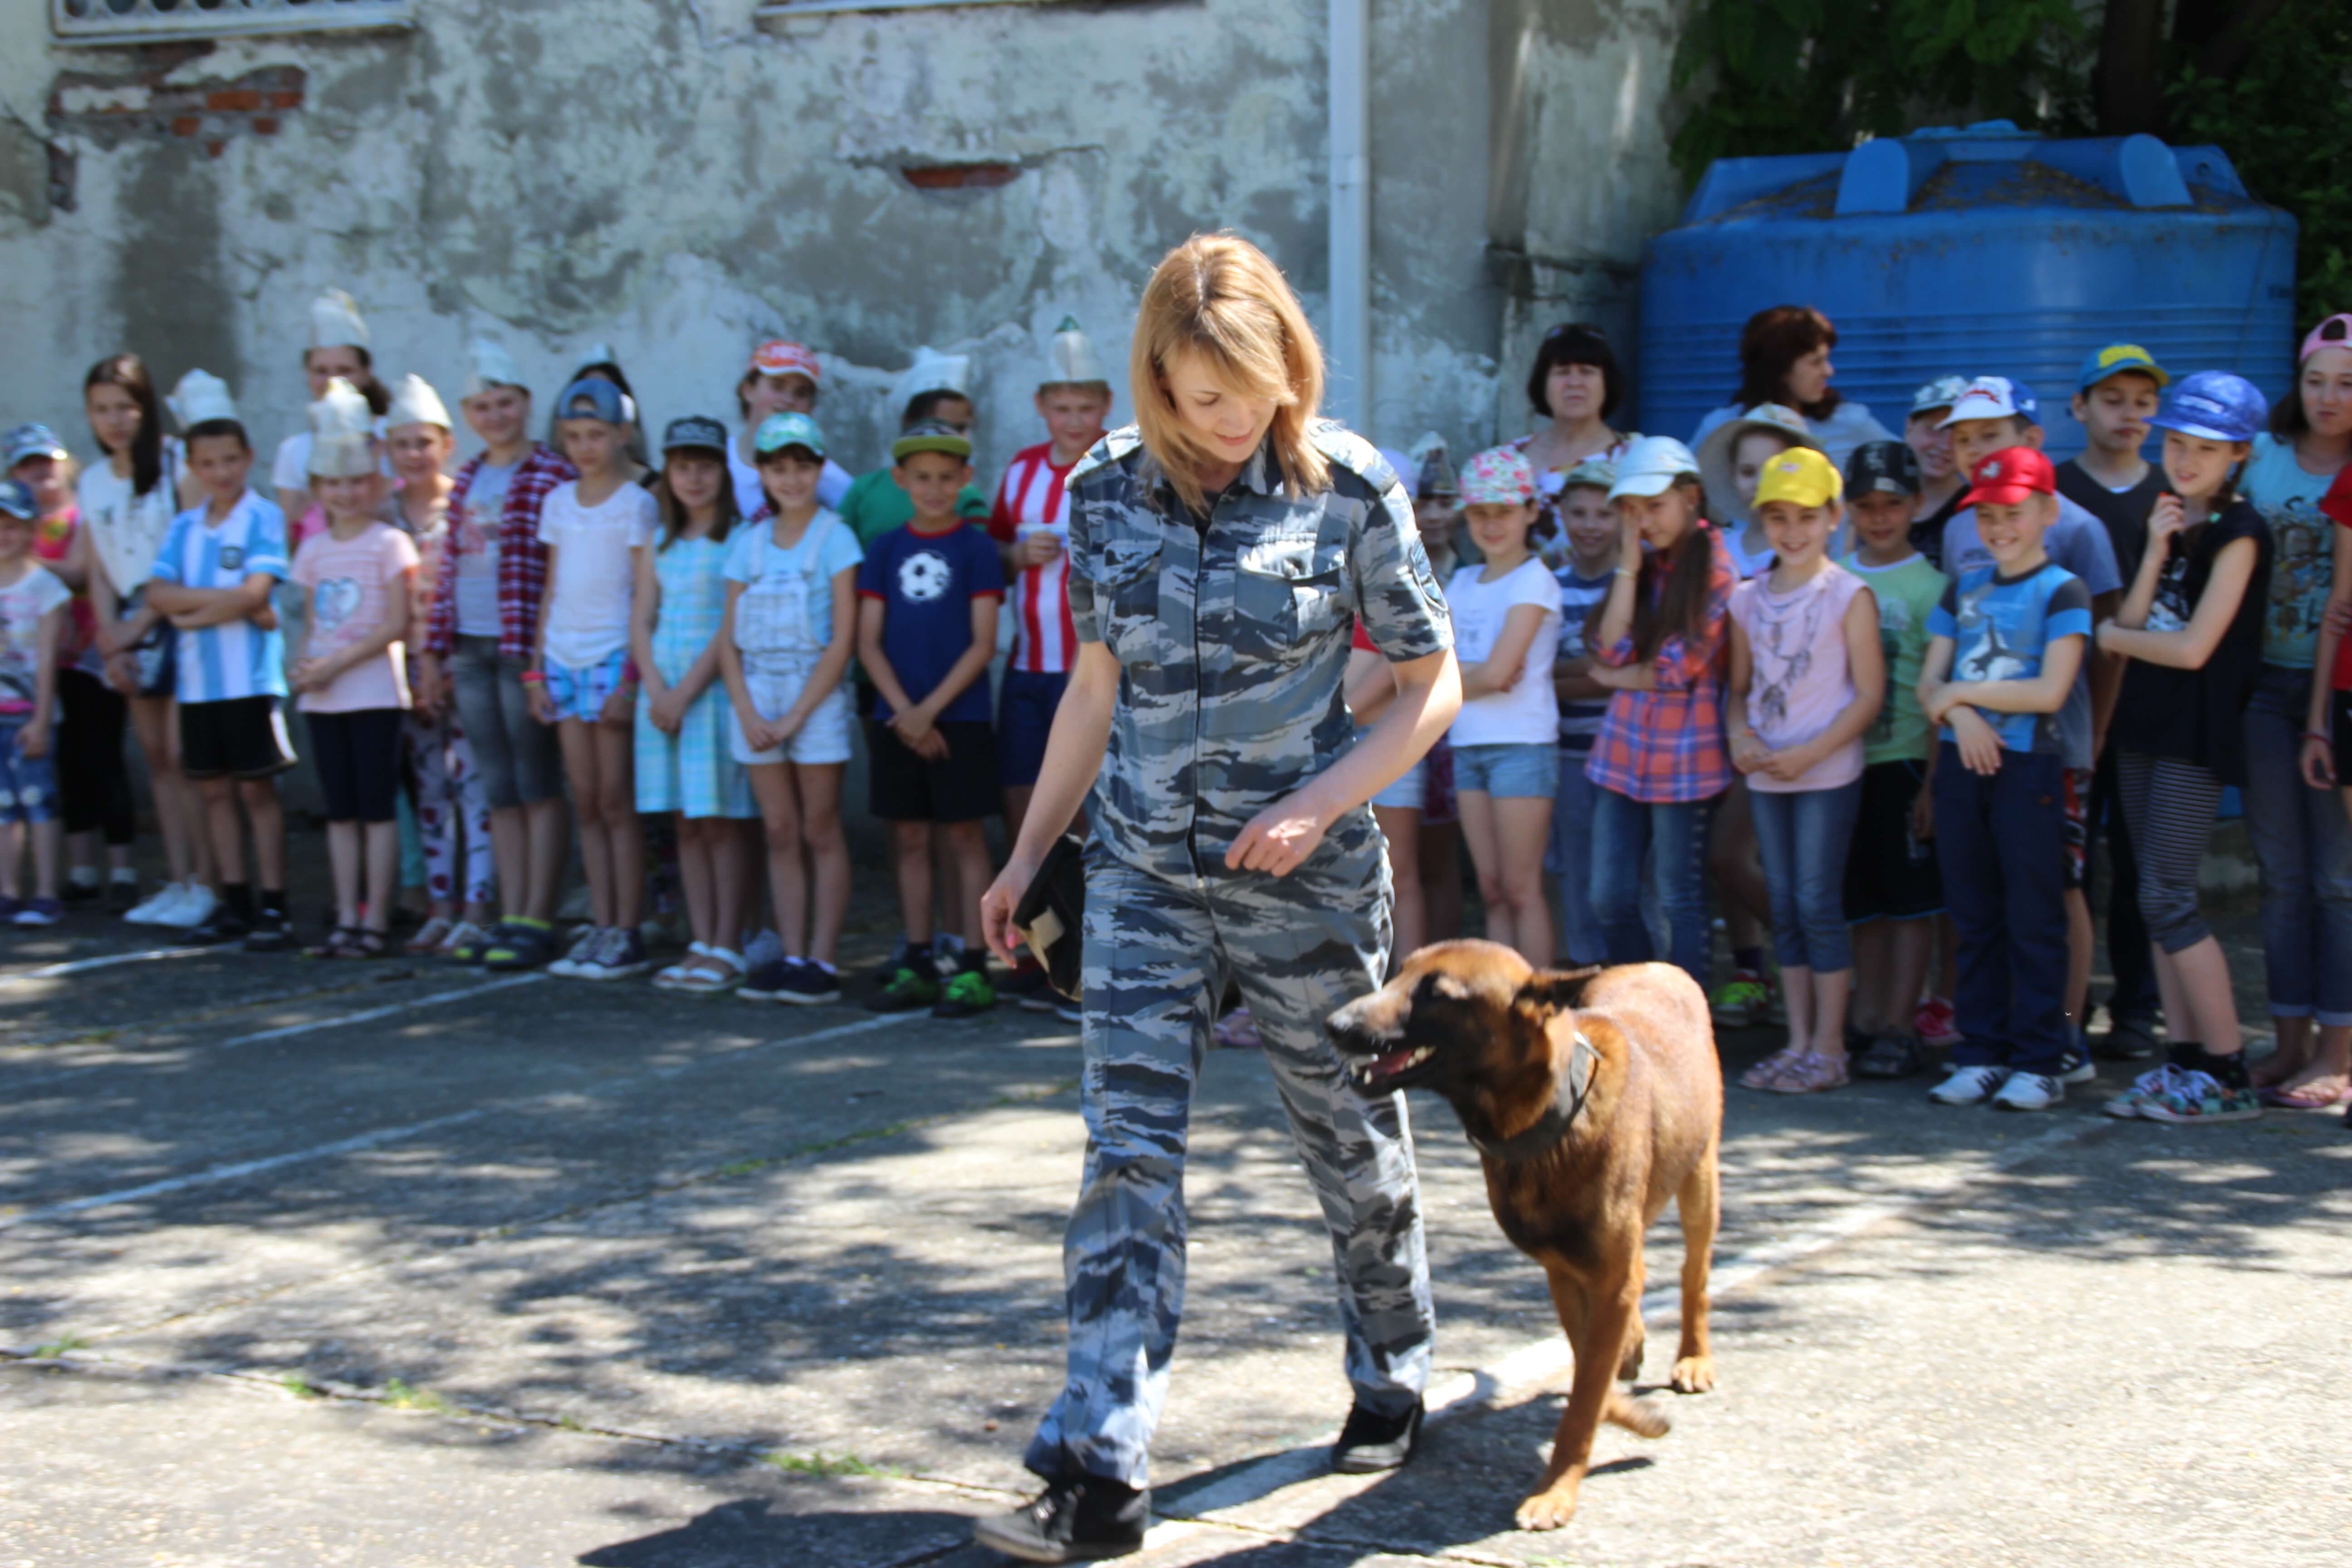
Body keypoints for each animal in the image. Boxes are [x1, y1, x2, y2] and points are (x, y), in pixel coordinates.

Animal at [1326, 945, 1731, 1533]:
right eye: (1398, 974)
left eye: (1437, 994)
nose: (1334, 1024)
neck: (1546, 1118)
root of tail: (1658, 965)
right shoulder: (1566, 1276)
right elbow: (1591, 1376)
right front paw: (1632, 1408)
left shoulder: (1605, 1276)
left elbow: (1585, 1399)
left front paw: (1556, 1490)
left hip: (1701, 1181)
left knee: (1692, 1275)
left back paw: (1694, 1357)